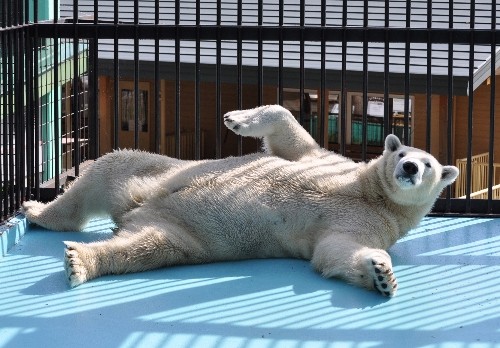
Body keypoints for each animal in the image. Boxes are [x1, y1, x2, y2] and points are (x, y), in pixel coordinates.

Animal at [24, 104, 460, 294]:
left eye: (430, 165)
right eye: (402, 154)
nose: (410, 169)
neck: (370, 195)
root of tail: (133, 208)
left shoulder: (366, 223)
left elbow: (336, 252)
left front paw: (382, 275)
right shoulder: (330, 166)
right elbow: (292, 138)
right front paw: (236, 118)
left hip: (182, 232)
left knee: (144, 247)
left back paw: (79, 260)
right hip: (153, 170)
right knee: (107, 168)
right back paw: (38, 209)